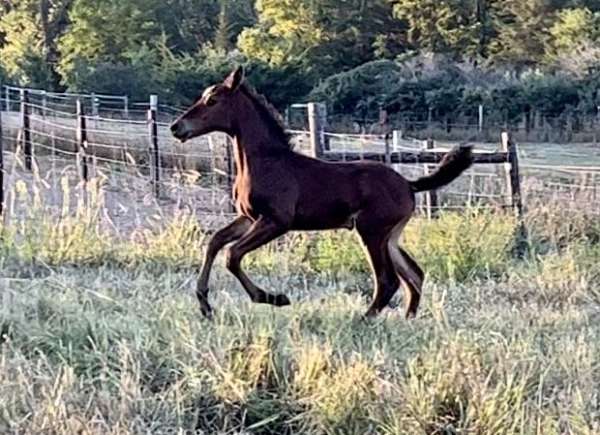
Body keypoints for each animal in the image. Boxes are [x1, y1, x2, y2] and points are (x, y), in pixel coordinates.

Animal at [170, 68, 474, 320]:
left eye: (212, 101)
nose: (176, 127)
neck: (266, 162)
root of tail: (409, 185)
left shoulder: (277, 221)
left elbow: (232, 255)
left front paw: (273, 298)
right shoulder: (249, 217)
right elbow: (215, 241)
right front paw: (205, 305)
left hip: (371, 231)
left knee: (389, 280)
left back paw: (363, 319)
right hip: (390, 236)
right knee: (414, 275)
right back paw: (407, 320)